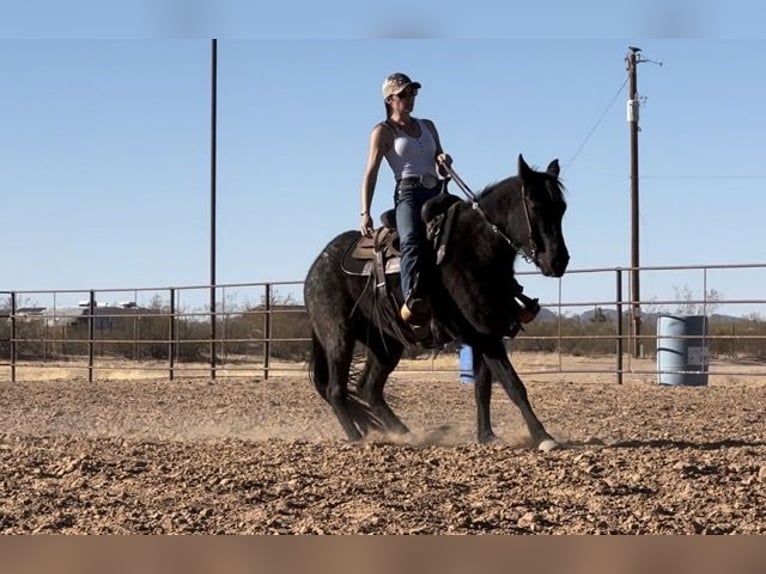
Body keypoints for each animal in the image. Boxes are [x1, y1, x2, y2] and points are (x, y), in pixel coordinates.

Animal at [306, 155, 568, 452]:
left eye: (562, 208)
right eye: (535, 206)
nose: (559, 261)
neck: (476, 250)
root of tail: (315, 269)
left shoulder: (483, 335)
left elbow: (482, 388)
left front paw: (486, 435)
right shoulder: (486, 338)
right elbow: (513, 385)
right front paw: (543, 436)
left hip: (386, 343)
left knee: (369, 387)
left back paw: (405, 434)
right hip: (338, 336)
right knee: (336, 390)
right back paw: (357, 437)